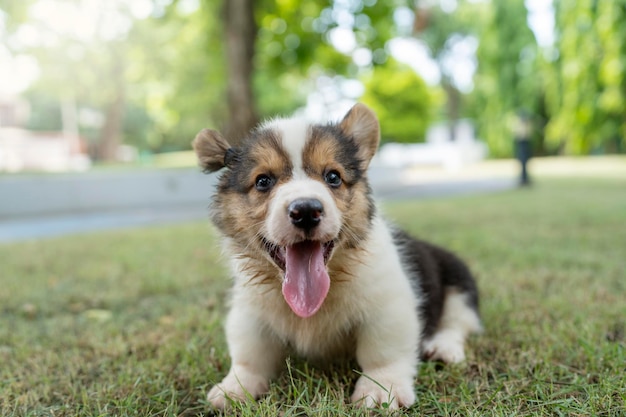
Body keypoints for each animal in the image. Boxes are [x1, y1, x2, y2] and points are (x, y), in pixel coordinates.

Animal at [193, 102, 480, 408]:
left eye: (333, 177)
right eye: (262, 181)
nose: (306, 211)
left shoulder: (389, 305)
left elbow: (382, 351)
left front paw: (381, 389)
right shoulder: (249, 311)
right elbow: (249, 353)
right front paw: (235, 387)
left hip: (459, 280)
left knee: (458, 322)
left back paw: (443, 347)